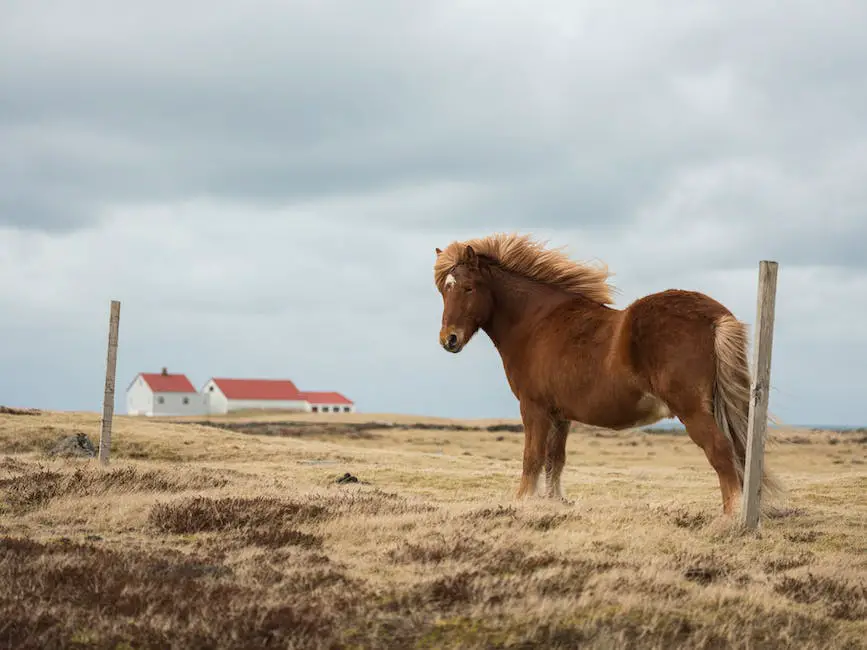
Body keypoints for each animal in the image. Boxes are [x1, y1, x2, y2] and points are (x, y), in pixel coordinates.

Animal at [438, 232, 784, 512]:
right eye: (444, 290)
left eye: (468, 288)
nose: (448, 340)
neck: (536, 322)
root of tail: (713, 315)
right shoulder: (560, 415)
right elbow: (555, 460)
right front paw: (553, 502)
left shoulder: (533, 408)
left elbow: (532, 458)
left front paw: (522, 502)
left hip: (693, 411)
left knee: (721, 452)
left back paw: (729, 519)